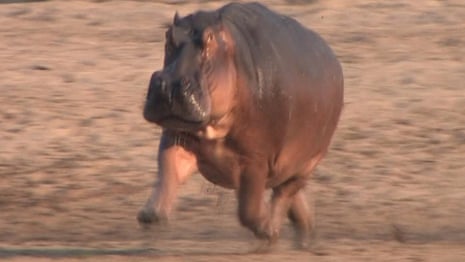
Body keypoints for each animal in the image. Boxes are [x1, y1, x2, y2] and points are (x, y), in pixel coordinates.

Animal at [136, 2, 342, 251]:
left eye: (210, 39)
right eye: (168, 35)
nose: (168, 85)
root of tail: (331, 57)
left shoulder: (255, 160)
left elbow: (248, 210)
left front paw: (266, 230)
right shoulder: (177, 136)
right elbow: (168, 172)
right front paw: (150, 214)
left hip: (308, 161)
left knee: (285, 193)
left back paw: (276, 231)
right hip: (288, 166)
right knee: (291, 195)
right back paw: (305, 236)